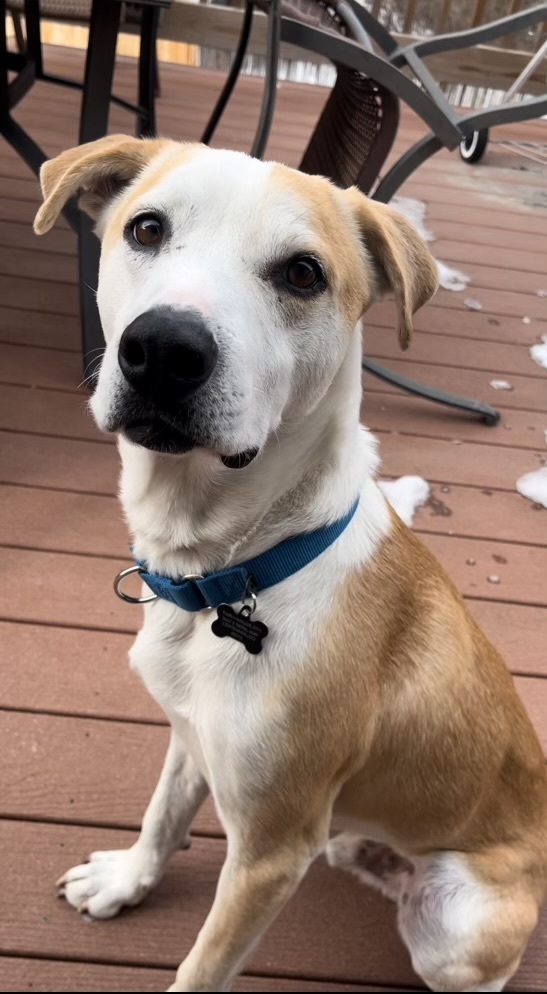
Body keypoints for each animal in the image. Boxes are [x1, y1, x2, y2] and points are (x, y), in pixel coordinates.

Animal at [35, 134, 547, 992]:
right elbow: (162, 815)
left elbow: (202, 968)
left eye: (302, 273)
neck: (231, 570)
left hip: (455, 922)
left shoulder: (269, 853)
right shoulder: (190, 738)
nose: (162, 350)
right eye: (146, 228)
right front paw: (128, 880)